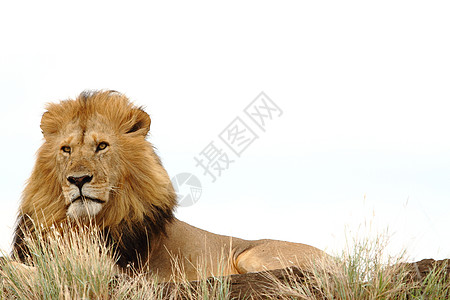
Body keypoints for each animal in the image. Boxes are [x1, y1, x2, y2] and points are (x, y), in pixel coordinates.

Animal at [12, 89, 326, 282]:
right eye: (66, 150)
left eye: (102, 146)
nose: (78, 180)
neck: (83, 223)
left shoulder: (119, 272)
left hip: (253, 256)